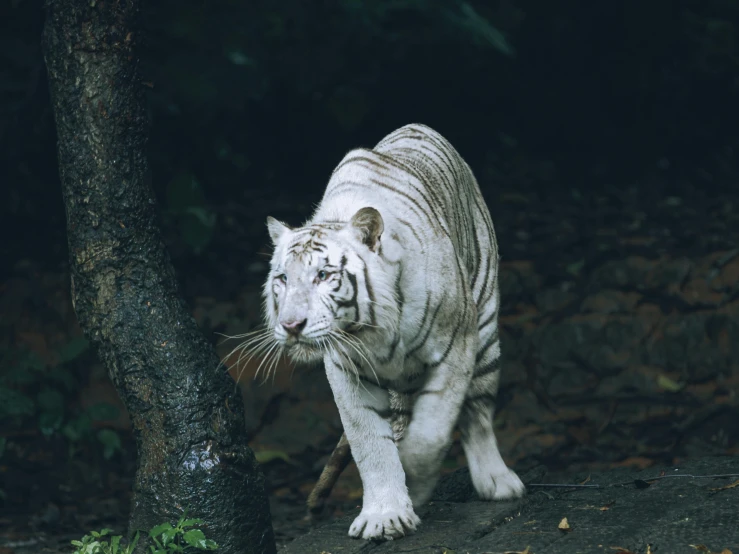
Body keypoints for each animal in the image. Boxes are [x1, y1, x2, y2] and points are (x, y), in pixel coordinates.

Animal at [260, 123, 528, 536]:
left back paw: (497, 482)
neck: (370, 331)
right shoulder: (346, 371)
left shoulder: (456, 346)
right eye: (282, 279)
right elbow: (369, 442)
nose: (291, 325)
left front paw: (415, 483)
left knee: (478, 414)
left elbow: (431, 432)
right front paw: (384, 515)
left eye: (324, 275)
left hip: (484, 331)